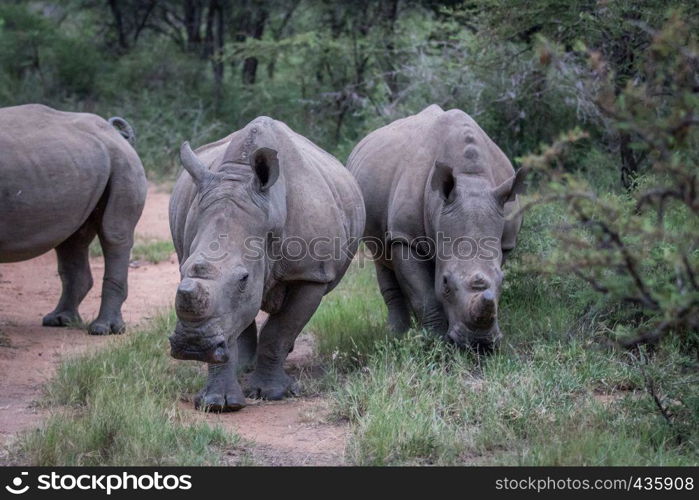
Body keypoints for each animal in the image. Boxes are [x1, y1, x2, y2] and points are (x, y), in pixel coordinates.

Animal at [0, 103, 146, 334]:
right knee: (72, 238)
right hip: (81, 162)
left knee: (114, 234)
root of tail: (117, 135)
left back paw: (102, 329)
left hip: (122, 162)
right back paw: (59, 321)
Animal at [170, 116, 366, 410]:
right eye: (182, 270)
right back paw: (244, 366)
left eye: (243, 279)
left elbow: (280, 330)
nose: (193, 345)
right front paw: (218, 404)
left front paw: (271, 393)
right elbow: (231, 323)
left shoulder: (311, 274)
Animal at [348, 103, 528, 350]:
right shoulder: (406, 237)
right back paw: (397, 336)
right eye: (445, 283)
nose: (479, 344)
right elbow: (425, 296)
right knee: (380, 257)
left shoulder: (505, 241)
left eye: (503, 281)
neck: (471, 178)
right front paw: (435, 342)